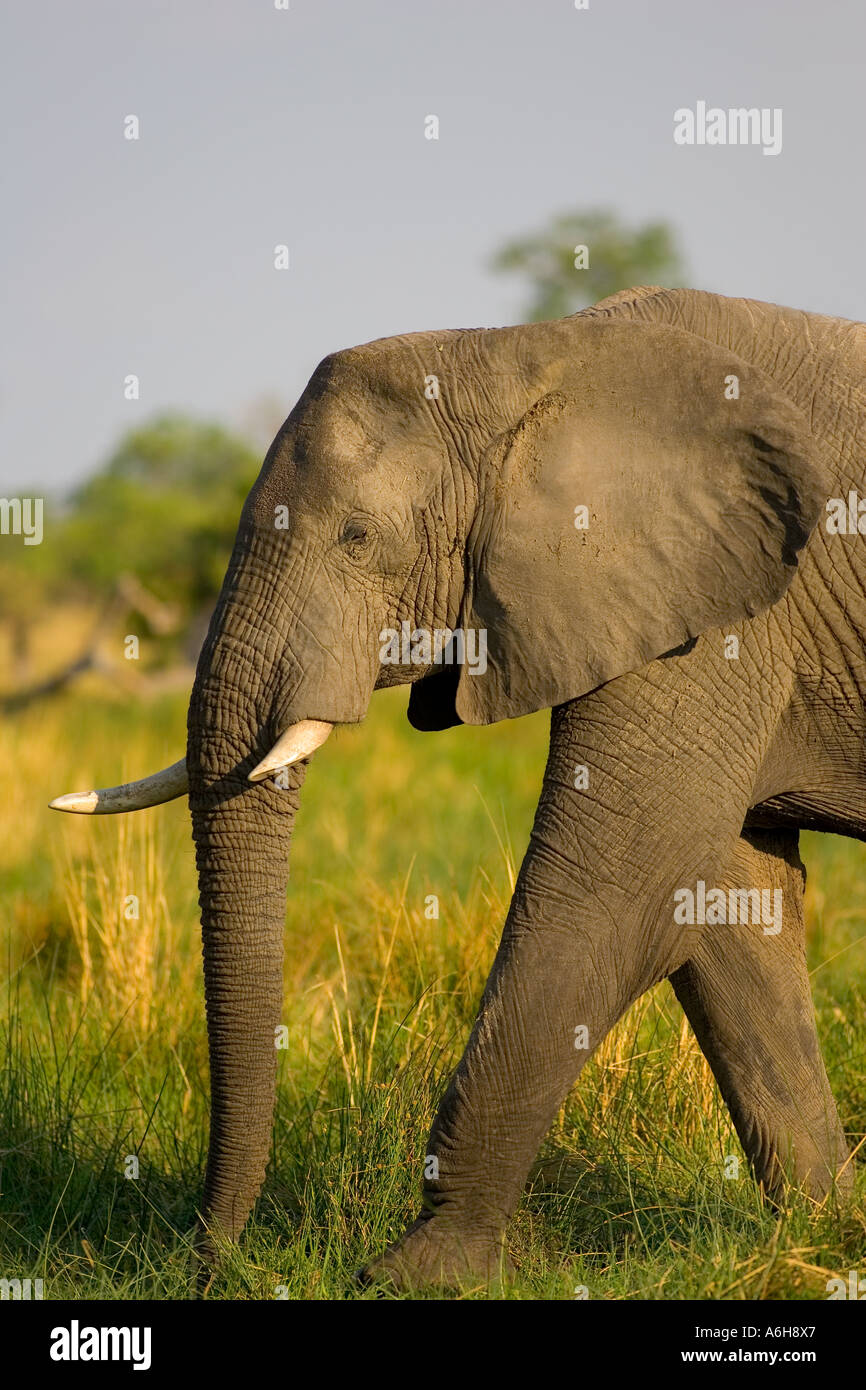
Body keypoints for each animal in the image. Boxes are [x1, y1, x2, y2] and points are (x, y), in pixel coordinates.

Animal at [51, 284, 866, 1289]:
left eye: (360, 537)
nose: (210, 1264)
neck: (522, 356)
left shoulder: (723, 622)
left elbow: (612, 897)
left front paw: (415, 1277)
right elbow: (728, 908)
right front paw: (827, 1237)